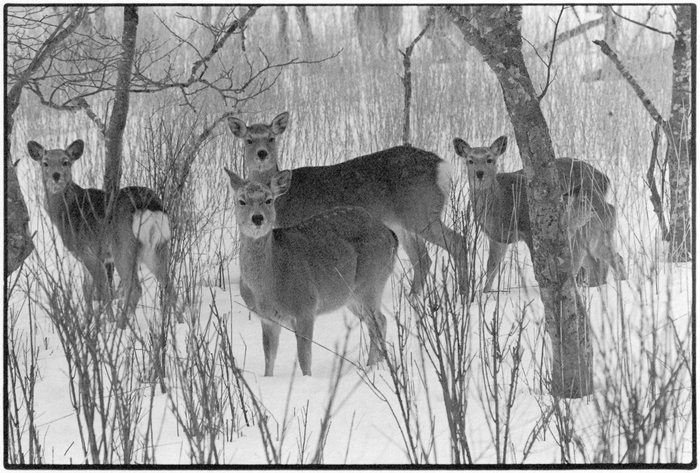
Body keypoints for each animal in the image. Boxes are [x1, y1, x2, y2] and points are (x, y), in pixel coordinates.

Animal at [30, 138, 176, 326]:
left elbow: (102, 291)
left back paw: (120, 325)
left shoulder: (89, 252)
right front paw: (86, 322)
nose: (56, 175)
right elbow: (87, 291)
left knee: (135, 288)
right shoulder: (87, 257)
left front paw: (106, 322)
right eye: (45, 163)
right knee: (169, 285)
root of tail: (150, 206)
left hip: (123, 247)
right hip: (159, 247)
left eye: (65, 162)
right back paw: (181, 323)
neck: (67, 211)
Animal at [226, 167, 396, 376]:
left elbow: (304, 356)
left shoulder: (306, 306)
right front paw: (268, 378)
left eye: (269, 200)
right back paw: (375, 364)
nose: (257, 218)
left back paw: (373, 366)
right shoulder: (267, 318)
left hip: (372, 282)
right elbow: (269, 355)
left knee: (379, 322)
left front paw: (307, 378)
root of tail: (390, 234)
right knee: (378, 322)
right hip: (351, 297)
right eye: (241, 201)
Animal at [227, 111, 468, 296]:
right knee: (423, 258)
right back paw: (413, 298)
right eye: (248, 140)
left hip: (422, 213)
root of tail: (443, 167)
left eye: (271, 138)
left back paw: (464, 294)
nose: (262, 154)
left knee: (457, 242)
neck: (282, 199)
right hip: (404, 222)